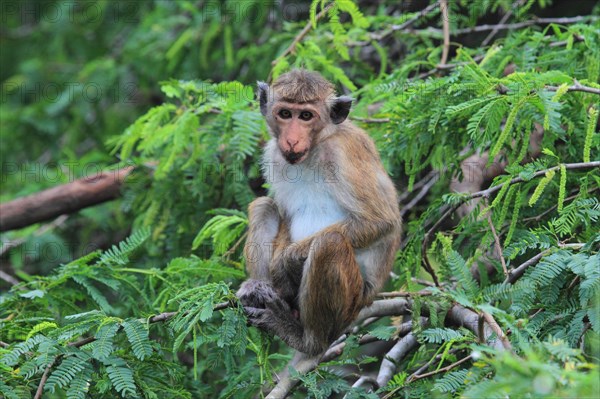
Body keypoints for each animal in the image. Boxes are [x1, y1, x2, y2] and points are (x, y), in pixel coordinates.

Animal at [237, 69, 400, 356]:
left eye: (306, 116)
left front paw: (285, 264)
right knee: (263, 207)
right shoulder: (274, 155)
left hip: (352, 299)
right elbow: (284, 213)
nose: (291, 139)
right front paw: (274, 276)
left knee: (329, 243)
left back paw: (308, 339)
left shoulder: (344, 153)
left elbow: (380, 221)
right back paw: (260, 290)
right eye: (285, 113)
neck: (317, 146)